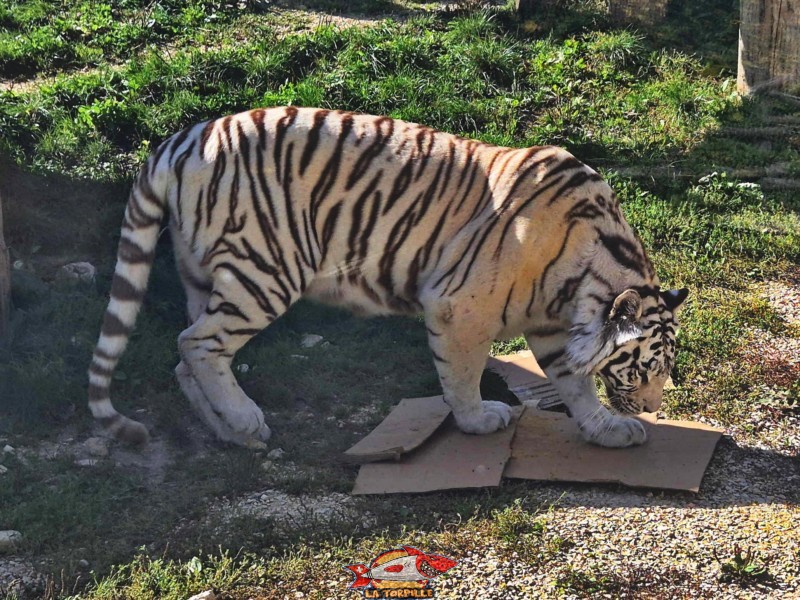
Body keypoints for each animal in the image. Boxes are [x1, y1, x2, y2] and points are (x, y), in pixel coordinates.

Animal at [88, 106, 688, 449]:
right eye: (643, 368)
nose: (652, 408)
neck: (581, 280)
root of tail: (181, 139)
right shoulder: (460, 306)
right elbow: (462, 375)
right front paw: (477, 420)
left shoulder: (550, 325)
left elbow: (576, 384)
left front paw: (609, 430)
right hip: (264, 270)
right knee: (198, 343)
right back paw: (247, 420)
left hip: (205, 276)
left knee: (185, 353)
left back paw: (232, 434)